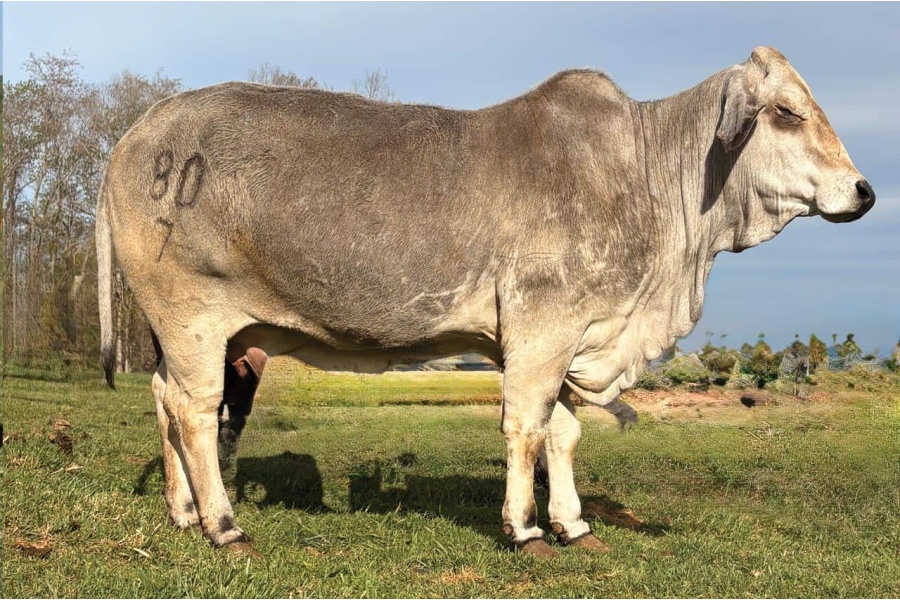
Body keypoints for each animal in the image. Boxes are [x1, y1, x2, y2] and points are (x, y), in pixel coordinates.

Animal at [96, 47, 874, 557]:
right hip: (192, 315)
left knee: (164, 399)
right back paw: (223, 525)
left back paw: (183, 512)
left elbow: (564, 433)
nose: (865, 191)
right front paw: (526, 527)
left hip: (188, 332)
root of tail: (134, 135)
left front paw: (573, 522)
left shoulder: (572, 337)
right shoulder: (542, 327)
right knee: (197, 413)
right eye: (785, 112)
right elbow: (526, 428)